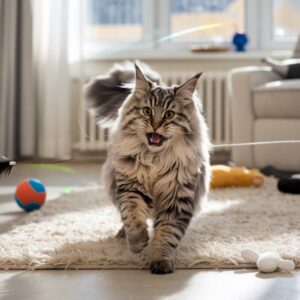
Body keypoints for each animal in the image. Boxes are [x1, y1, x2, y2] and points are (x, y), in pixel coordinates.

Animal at [84, 61, 211, 274]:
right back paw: (123, 235)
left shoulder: (177, 199)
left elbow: (168, 233)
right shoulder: (131, 188)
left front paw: (161, 261)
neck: (156, 160)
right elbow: (132, 216)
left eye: (169, 115)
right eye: (147, 111)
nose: (156, 125)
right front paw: (138, 243)